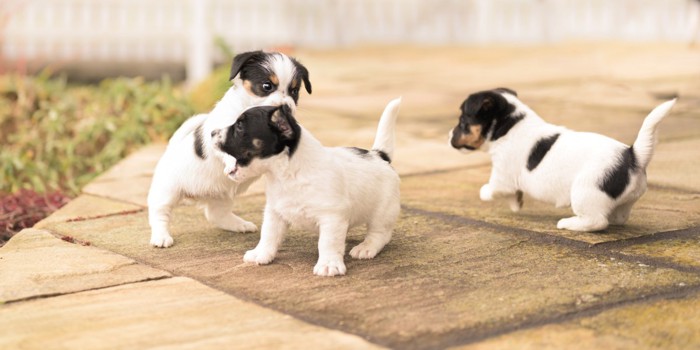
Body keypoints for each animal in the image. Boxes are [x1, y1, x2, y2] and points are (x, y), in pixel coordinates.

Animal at [148, 50, 312, 249]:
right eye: (267, 86)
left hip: (221, 197)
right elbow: (226, 148)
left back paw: (239, 225)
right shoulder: (220, 133)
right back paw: (161, 237)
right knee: (159, 213)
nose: (286, 107)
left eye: (294, 91)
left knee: (216, 215)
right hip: (167, 191)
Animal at [211, 98, 402, 276]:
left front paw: (329, 264)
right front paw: (261, 253)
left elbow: (327, 242)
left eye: (240, 126)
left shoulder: (332, 217)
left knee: (380, 234)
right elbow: (269, 235)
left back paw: (366, 247)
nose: (212, 132)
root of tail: (379, 155)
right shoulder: (275, 212)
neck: (286, 174)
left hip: (382, 213)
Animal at [452, 87, 676, 231]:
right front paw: (516, 204)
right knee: (618, 216)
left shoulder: (501, 176)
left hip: (584, 192)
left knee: (597, 222)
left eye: (462, 121)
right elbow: (513, 195)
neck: (510, 125)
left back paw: (569, 223)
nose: (449, 136)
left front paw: (486, 193)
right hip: (623, 200)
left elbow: (489, 189)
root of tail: (633, 155)